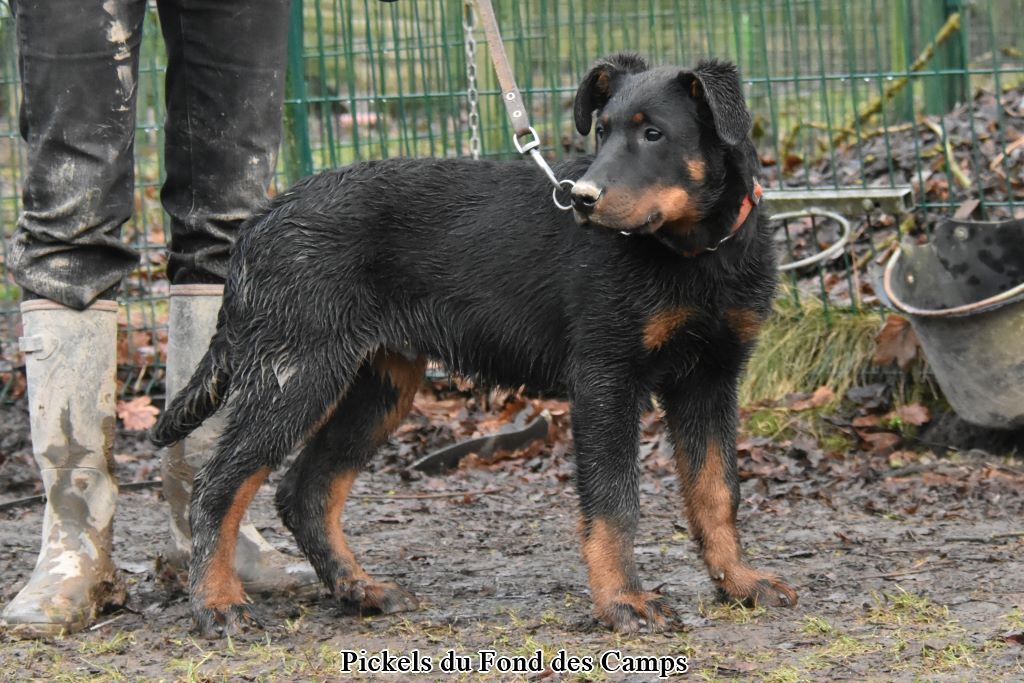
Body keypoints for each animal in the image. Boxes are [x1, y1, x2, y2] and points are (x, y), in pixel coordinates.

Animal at [152, 54, 797, 637]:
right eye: (603, 130)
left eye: (654, 133)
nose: (583, 199)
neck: (694, 253)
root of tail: (259, 222)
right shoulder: (606, 377)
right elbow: (614, 504)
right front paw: (624, 603)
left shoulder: (711, 380)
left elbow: (717, 492)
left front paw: (739, 582)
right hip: (296, 372)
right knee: (218, 486)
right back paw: (217, 604)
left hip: (375, 385)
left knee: (304, 491)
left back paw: (360, 590)